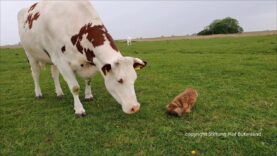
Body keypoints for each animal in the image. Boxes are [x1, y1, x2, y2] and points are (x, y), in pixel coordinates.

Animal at [17, 0, 147, 116]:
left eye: (134, 79)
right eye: (120, 80)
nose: (135, 107)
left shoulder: (88, 63)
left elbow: (88, 80)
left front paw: (88, 96)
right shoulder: (62, 62)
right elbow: (75, 88)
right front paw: (79, 110)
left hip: (52, 58)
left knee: (54, 74)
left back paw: (59, 93)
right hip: (30, 55)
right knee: (35, 74)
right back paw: (38, 93)